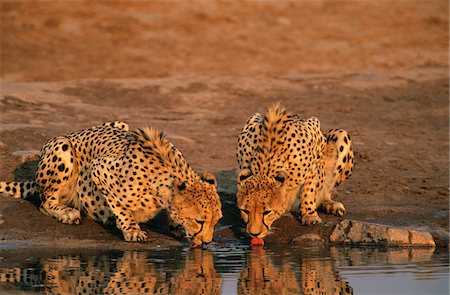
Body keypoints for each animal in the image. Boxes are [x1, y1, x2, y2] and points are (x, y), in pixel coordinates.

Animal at [0, 122, 221, 245]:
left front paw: (176, 225)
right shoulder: (99, 168)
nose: (207, 243)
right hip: (62, 146)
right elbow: (120, 207)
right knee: (44, 203)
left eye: (216, 221)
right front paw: (131, 229)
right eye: (200, 221)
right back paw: (67, 213)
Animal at [236, 104, 356, 240]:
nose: (254, 234)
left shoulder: (316, 139)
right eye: (245, 211)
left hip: (341, 134)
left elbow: (309, 188)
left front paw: (309, 214)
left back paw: (329, 204)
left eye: (267, 212)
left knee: (326, 189)